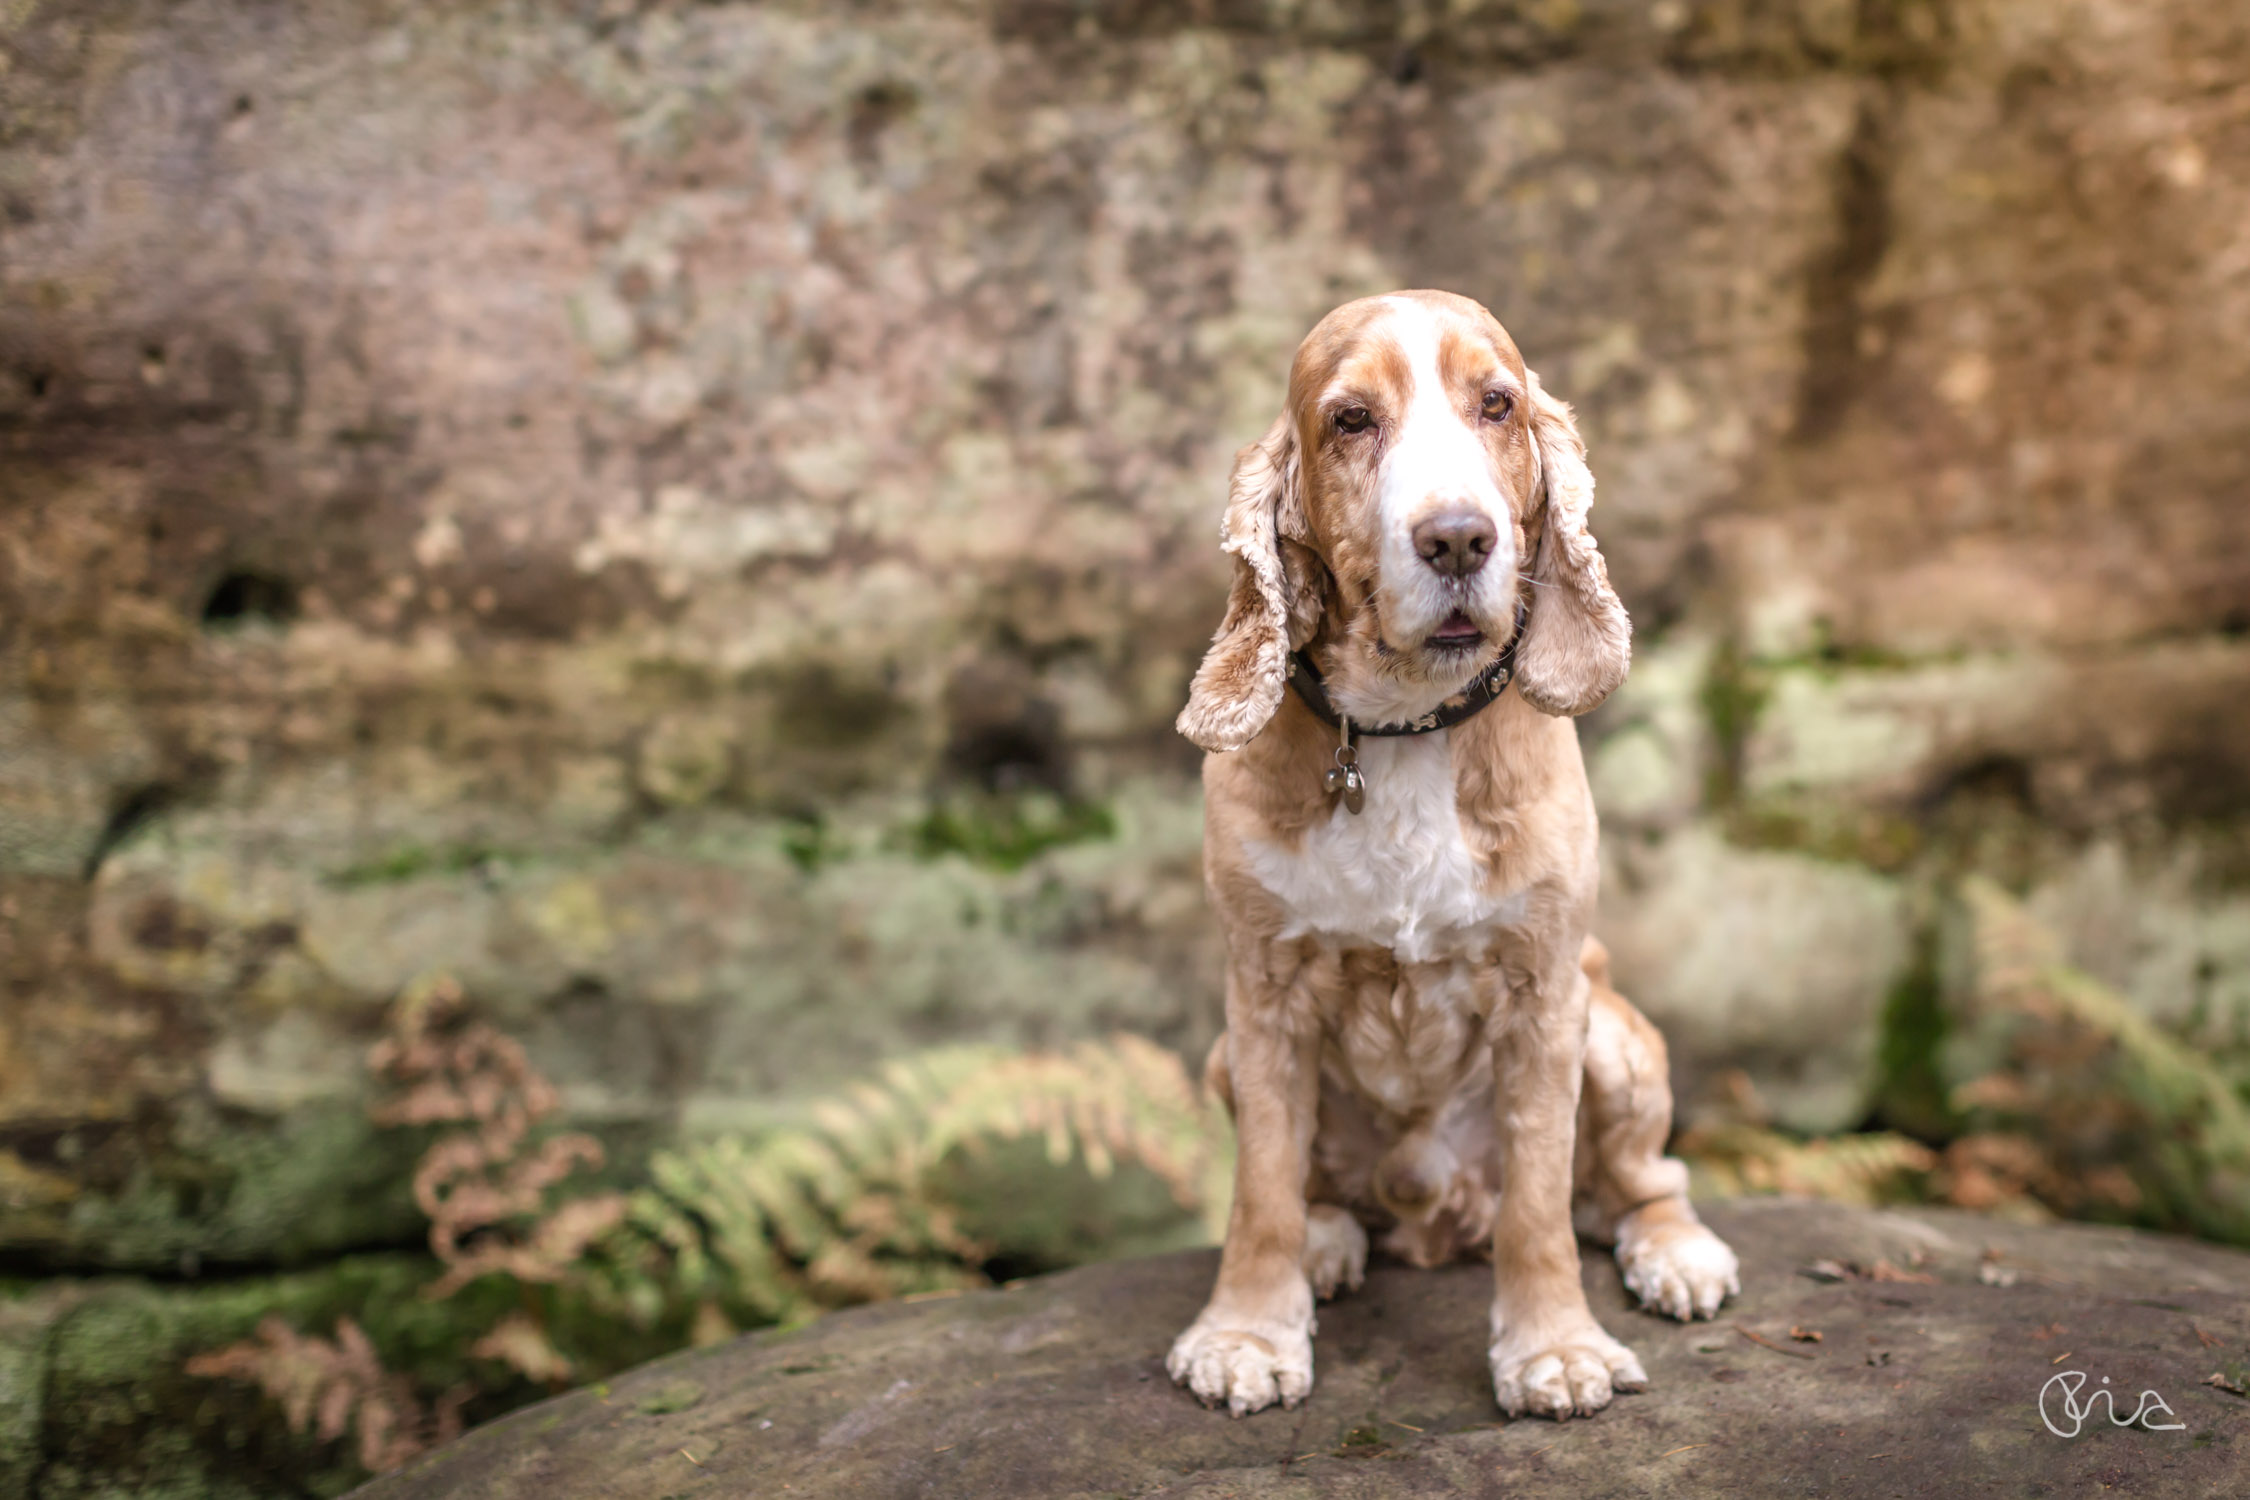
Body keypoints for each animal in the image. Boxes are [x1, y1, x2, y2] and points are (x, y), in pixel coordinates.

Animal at [1161, 290, 1737, 1421]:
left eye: (1497, 404)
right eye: (1350, 420)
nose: (1459, 538)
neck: (1401, 728)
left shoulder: (1546, 994)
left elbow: (1540, 1203)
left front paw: (1554, 1350)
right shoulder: (1261, 996)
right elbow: (1261, 1191)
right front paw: (1248, 1333)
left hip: (1619, 1037)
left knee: (1640, 1186)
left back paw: (1676, 1256)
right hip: (1223, 1058)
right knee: (1320, 1193)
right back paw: (1330, 1244)